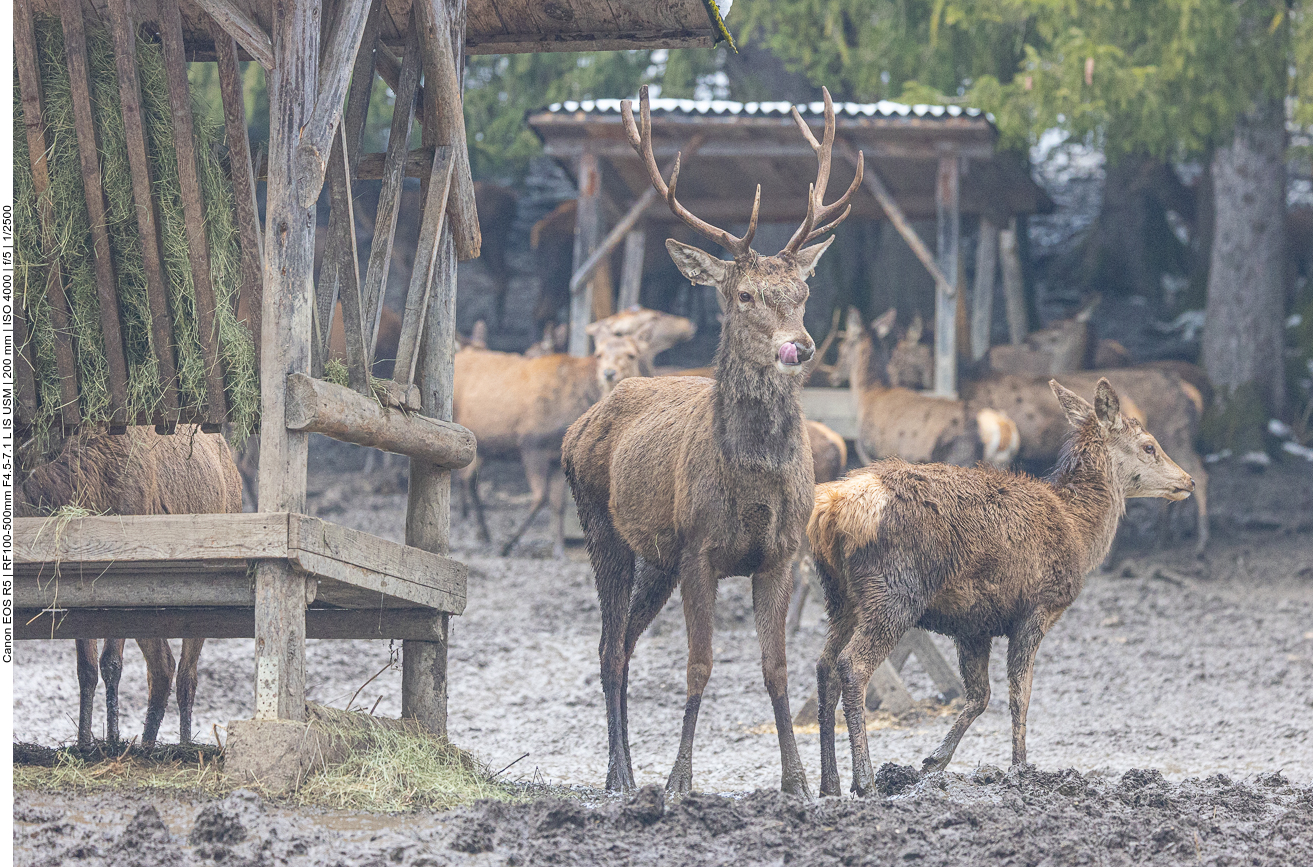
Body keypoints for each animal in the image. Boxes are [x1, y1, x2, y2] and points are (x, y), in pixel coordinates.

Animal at [18, 425, 244, 751]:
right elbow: (86, 669)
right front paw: (84, 744)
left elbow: (111, 663)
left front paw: (112, 740)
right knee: (163, 666)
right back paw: (147, 745)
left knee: (187, 675)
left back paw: (184, 745)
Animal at [454, 328, 648, 559]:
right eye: (599, 354)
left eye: (631, 355)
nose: (609, 373)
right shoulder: (531, 443)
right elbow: (541, 498)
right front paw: (507, 546)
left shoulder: (556, 457)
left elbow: (558, 503)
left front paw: (559, 549)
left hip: (483, 447)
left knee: (468, 478)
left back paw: (483, 533)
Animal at [561, 84, 861, 793]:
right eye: (745, 294)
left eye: (801, 290)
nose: (801, 346)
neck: (752, 483)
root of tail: (583, 423)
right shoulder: (699, 549)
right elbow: (700, 665)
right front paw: (679, 780)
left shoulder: (778, 553)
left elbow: (774, 667)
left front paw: (797, 780)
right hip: (601, 526)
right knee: (609, 646)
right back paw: (622, 776)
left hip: (658, 558)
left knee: (625, 643)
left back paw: (622, 770)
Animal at [803, 375, 1197, 793]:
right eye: (1149, 445)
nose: (1186, 480)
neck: (1079, 531)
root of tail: (829, 510)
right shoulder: (1037, 608)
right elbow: (1019, 694)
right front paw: (1020, 769)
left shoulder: (974, 624)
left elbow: (980, 695)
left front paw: (933, 762)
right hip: (894, 592)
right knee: (852, 665)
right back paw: (864, 780)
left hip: (839, 595)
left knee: (824, 665)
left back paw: (827, 784)